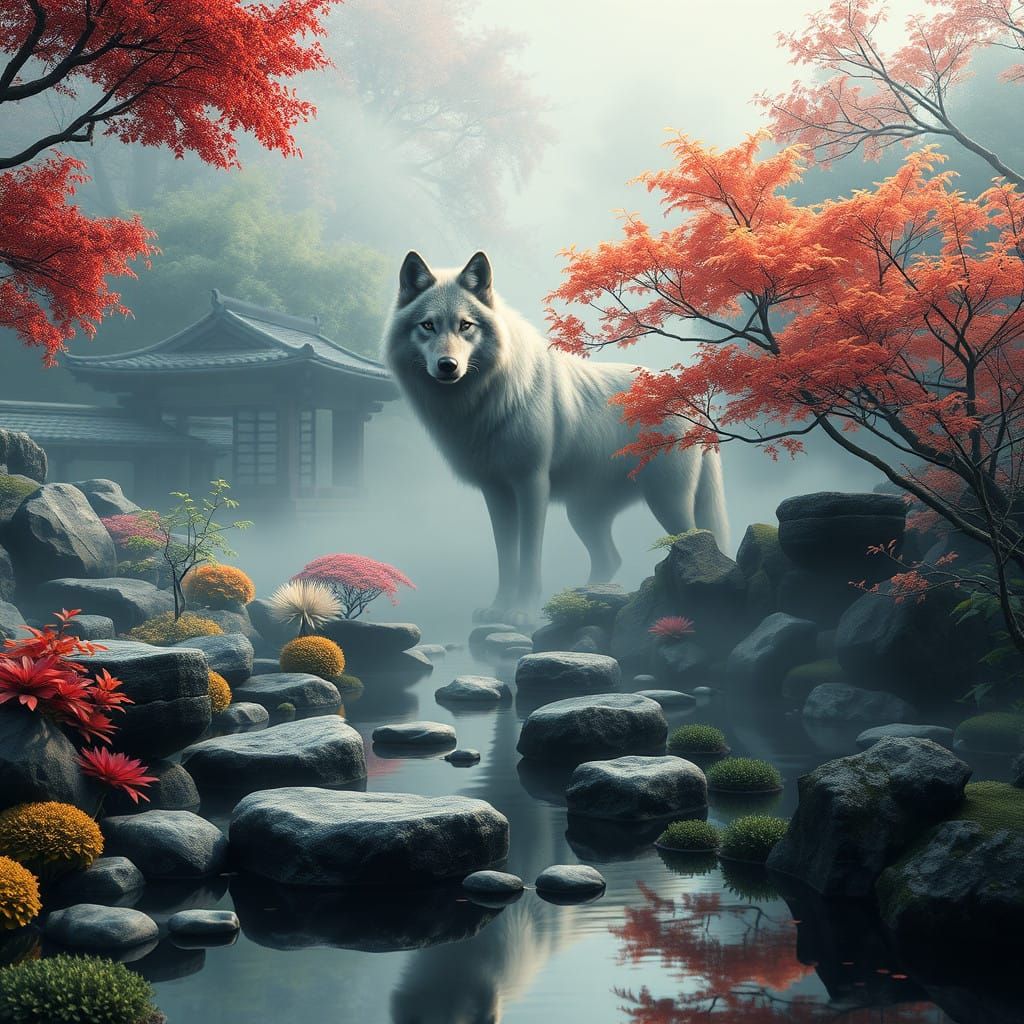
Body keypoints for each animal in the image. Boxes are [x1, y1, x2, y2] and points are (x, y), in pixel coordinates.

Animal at [383, 250, 729, 622]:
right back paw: (585, 600)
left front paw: (521, 613)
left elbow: (529, 558)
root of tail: (691, 399)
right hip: (584, 514)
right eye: (428, 325)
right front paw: (498, 608)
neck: (489, 398)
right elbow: (506, 559)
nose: (447, 365)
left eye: (465, 325)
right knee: (611, 558)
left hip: (667, 501)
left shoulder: (532, 485)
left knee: (695, 537)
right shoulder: (496, 493)